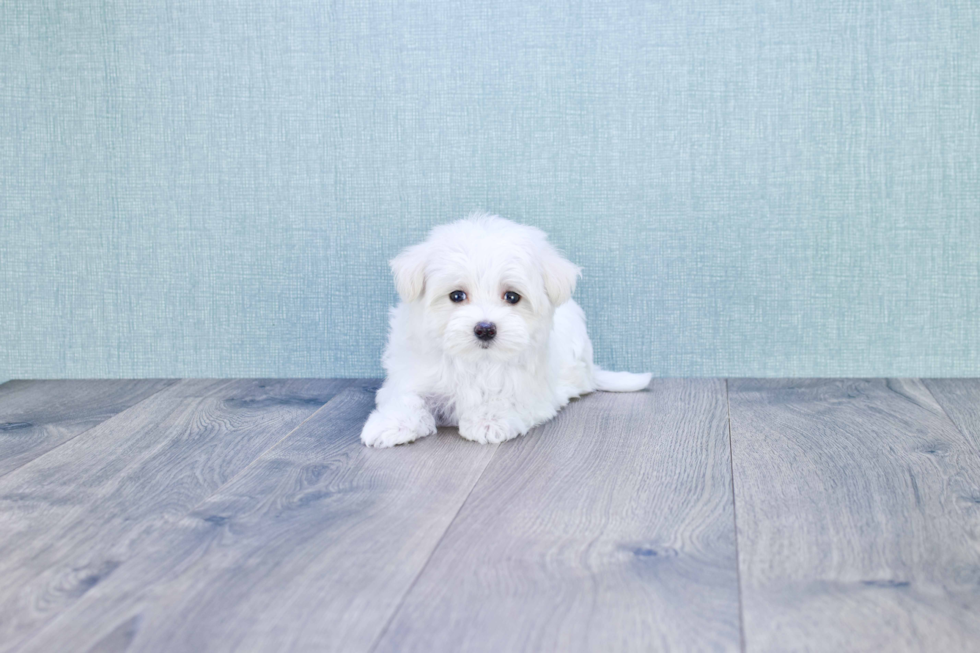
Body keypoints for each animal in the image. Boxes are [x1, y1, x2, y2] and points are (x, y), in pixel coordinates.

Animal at [360, 214, 652, 448]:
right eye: (456, 295)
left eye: (512, 297)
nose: (485, 329)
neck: (477, 360)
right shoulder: (414, 372)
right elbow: (406, 396)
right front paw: (391, 424)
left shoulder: (530, 388)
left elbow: (505, 397)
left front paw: (489, 420)